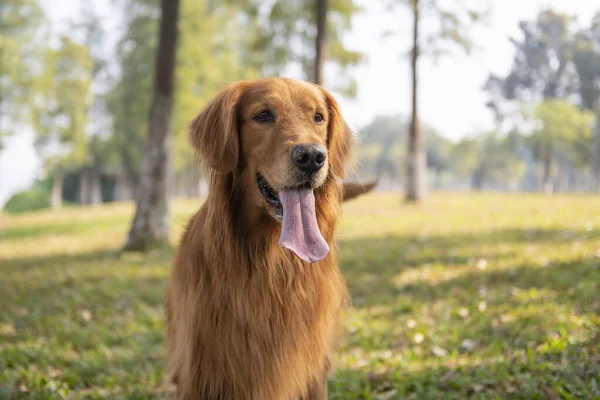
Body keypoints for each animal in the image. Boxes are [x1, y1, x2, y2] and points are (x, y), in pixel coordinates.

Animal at [166, 76, 368, 398]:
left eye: (318, 117)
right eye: (263, 115)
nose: (311, 157)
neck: (272, 261)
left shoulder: (313, 368)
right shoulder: (202, 369)